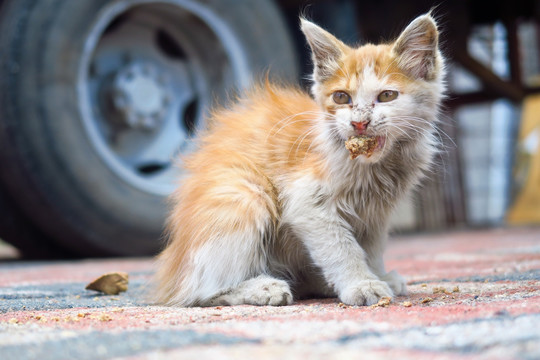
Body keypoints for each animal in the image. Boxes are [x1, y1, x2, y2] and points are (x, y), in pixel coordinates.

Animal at [154, 14, 446, 306]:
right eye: (342, 97)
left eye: (387, 95)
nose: (359, 123)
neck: (376, 166)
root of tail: (171, 273)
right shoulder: (307, 202)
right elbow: (342, 248)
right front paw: (361, 283)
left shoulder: (376, 215)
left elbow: (372, 248)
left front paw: (378, 274)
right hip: (244, 195)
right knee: (198, 292)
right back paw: (263, 288)